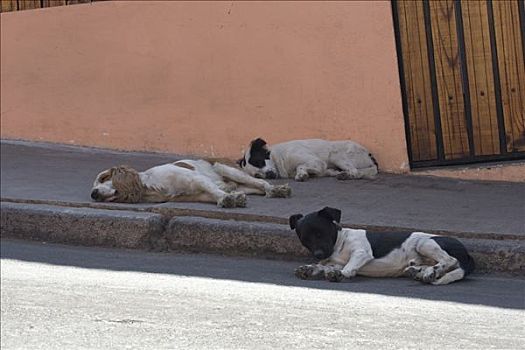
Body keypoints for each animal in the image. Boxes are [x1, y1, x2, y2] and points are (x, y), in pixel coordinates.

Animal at [237, 137, 376, 182]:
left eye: (260, 161)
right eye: (257, 175)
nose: (269, 175)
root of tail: (368, 154)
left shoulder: (317, 162)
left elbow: (300, 166)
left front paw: (301, 174)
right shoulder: (321, 168)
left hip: (336, 155)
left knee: (355, 172)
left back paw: (346, 175)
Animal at [290, 208, 474, 284]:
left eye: (320, 233)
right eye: (305, 239)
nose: (319, 254)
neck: (339, 242)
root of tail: (467, 255)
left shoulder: (361, 252)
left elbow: (348, 267)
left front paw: (341, 274)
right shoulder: (333, 263)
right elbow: (324, 267)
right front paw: (310, 268)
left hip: (425, 243)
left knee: (449, 260)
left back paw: (431, 272)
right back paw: (420, 272)